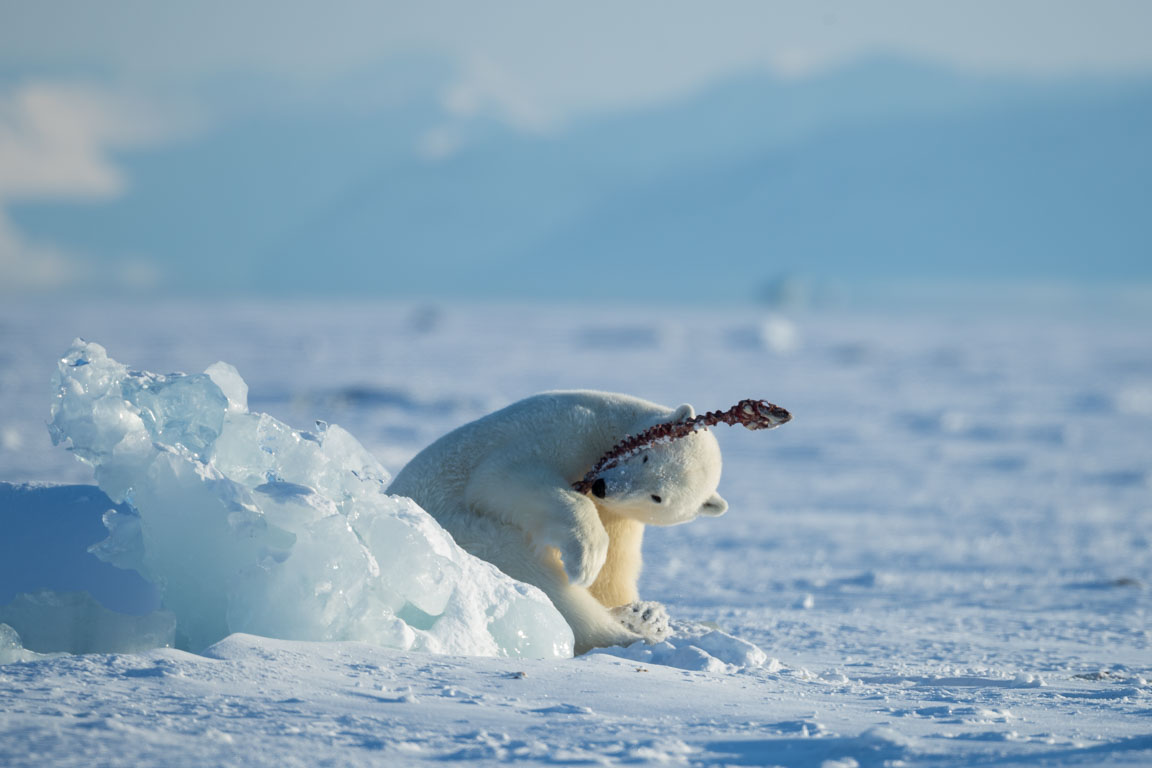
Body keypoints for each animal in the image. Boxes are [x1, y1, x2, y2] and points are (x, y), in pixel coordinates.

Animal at [387, 391, 728, 654]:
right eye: (646, 456)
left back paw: (643, 620)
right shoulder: (567, 430)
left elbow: (614, 572)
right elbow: (504, 477)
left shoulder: (622, 516)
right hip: (470, 535)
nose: (604, 486)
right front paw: (587, 559)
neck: (609, 426)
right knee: (543, 581)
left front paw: (642, 611)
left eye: (657, 496)